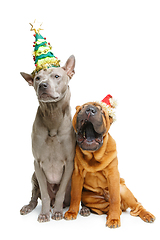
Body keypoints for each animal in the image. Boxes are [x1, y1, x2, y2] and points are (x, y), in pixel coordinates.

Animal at [19, 55, 76, 222]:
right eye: (37, 78)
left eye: (56, 76)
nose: (42, 85)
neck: (53, 116)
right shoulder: (37, 163)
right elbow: (44, 194)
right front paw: (44, 214)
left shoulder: (69, 163)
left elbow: (61, 192)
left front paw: (57, 212)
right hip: (33, 176)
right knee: (35, 196)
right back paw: (29, 207)